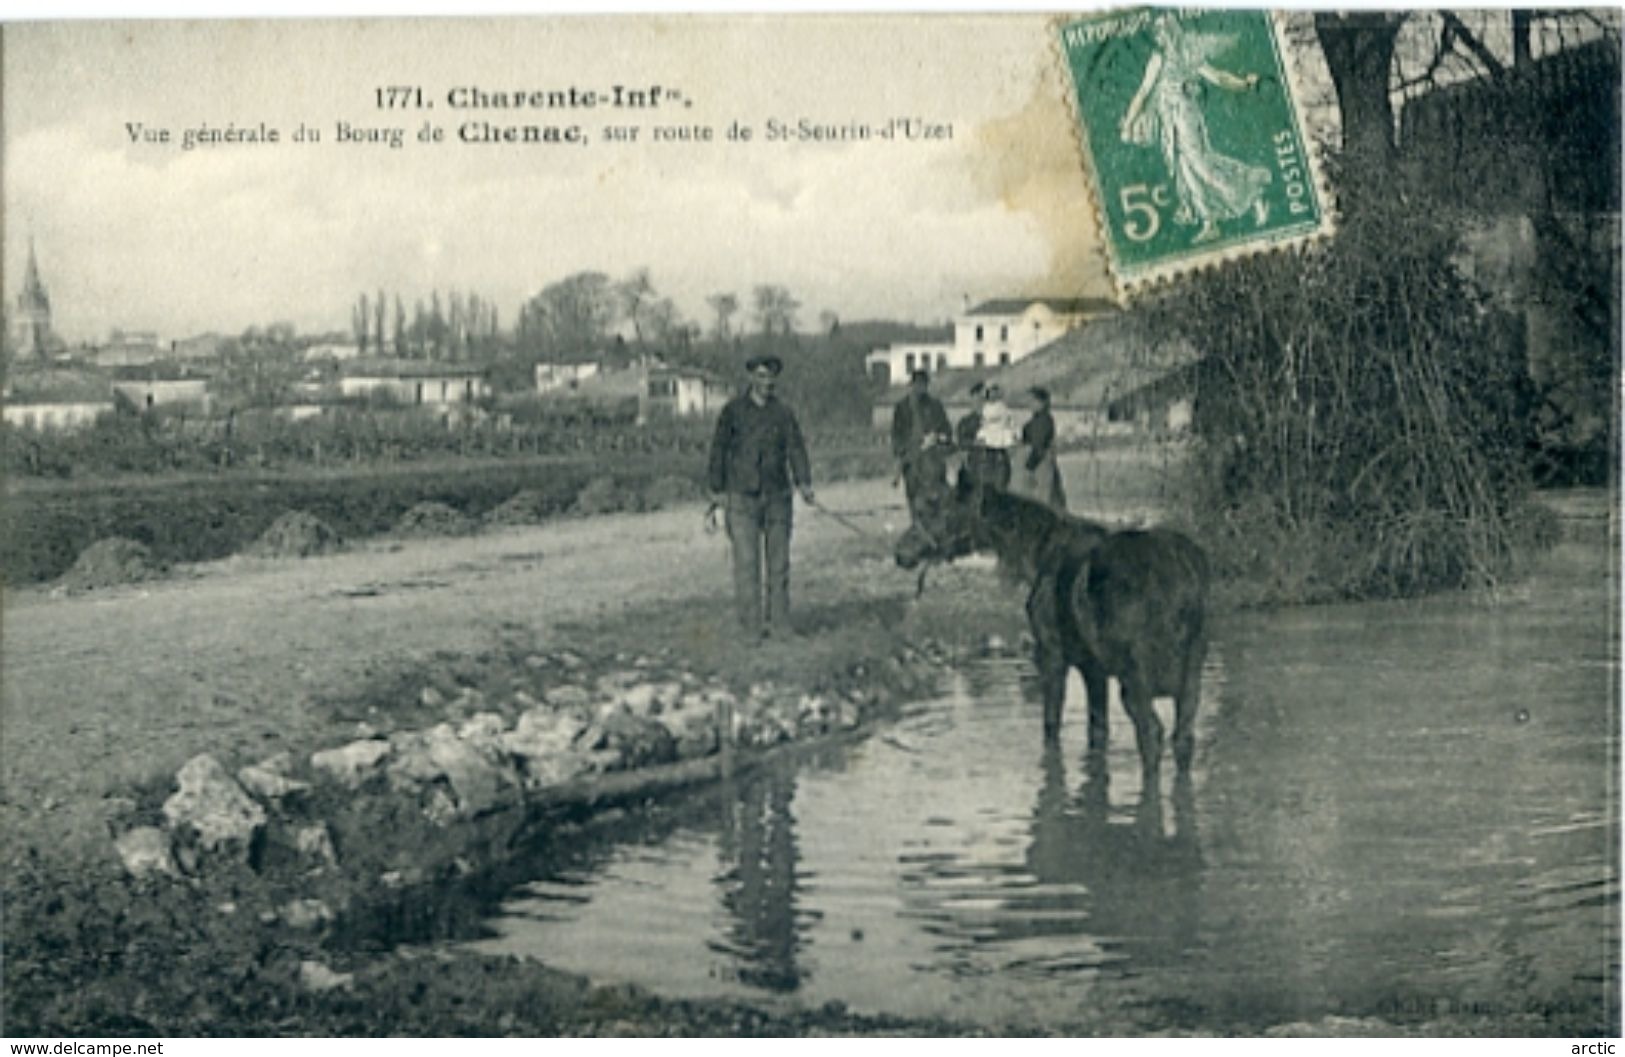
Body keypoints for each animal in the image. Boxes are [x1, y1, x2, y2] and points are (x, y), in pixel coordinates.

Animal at [897, 474, 1215, 777]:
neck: (1033, 555)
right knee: (1182, 738)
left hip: (1135, 676)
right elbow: (1097, 731)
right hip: (1190, 677)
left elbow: (1051, 728)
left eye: (937, 507)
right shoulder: (1094, 668)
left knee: (1151, 734)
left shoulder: (1051, 655)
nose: (900, 551)